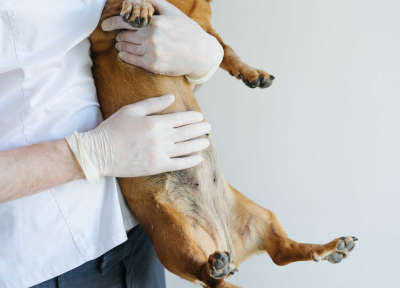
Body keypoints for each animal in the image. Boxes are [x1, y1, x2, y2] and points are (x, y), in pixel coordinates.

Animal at [89, 1, 358, 286]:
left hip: (264, 216)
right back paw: (215, 267)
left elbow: (225, 50)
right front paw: (138, 6)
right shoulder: (100, 35)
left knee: (281, 252)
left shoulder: (203, 31)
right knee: (207, 275)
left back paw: (330, 247)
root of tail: (224, 240)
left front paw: (252, 73)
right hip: (171, 232)